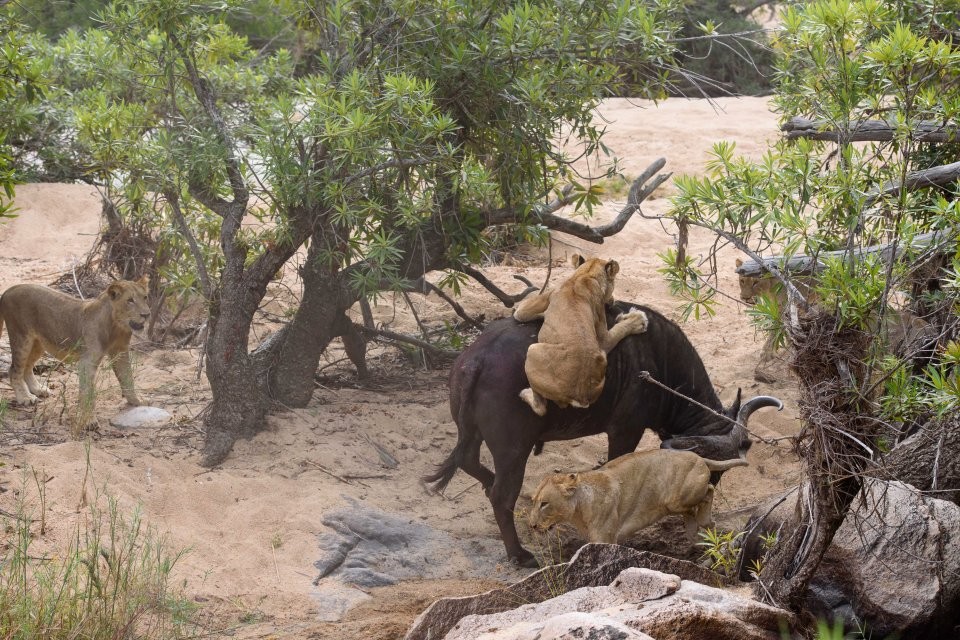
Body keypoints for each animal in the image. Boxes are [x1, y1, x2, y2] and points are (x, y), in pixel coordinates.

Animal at [0, 278, 150, 428]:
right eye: (130, 300)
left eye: (145, 297)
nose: (146, 315)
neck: (116, 327)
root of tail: (8, 291)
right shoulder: (87, 361)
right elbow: (87, 392)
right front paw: (89, 420)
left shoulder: (121, 351)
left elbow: (127, 378)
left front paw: (137, 400)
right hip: (21, 337)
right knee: (14, 369)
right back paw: (25, 397)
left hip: (38, 343)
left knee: (27, 367)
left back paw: (39, 389)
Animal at [512, 252, 648, 418]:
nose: (612, 300)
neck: (586, 274)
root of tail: (580, 395)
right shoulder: (601, 339)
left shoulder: (524, 311)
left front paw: (638, 320)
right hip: (601, 356)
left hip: (533, 350)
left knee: (541, 408)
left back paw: (525, 394)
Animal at [528, 448, 748, 544]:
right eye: (534, 502)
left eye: (544, 504)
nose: (532, 526)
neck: (579, 511)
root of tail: (699, 456)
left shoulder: (604, 539)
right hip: (677, 504)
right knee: (692, 511)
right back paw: (695, 532)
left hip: (677, 498)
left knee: (709, 489)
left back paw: (704, 521)